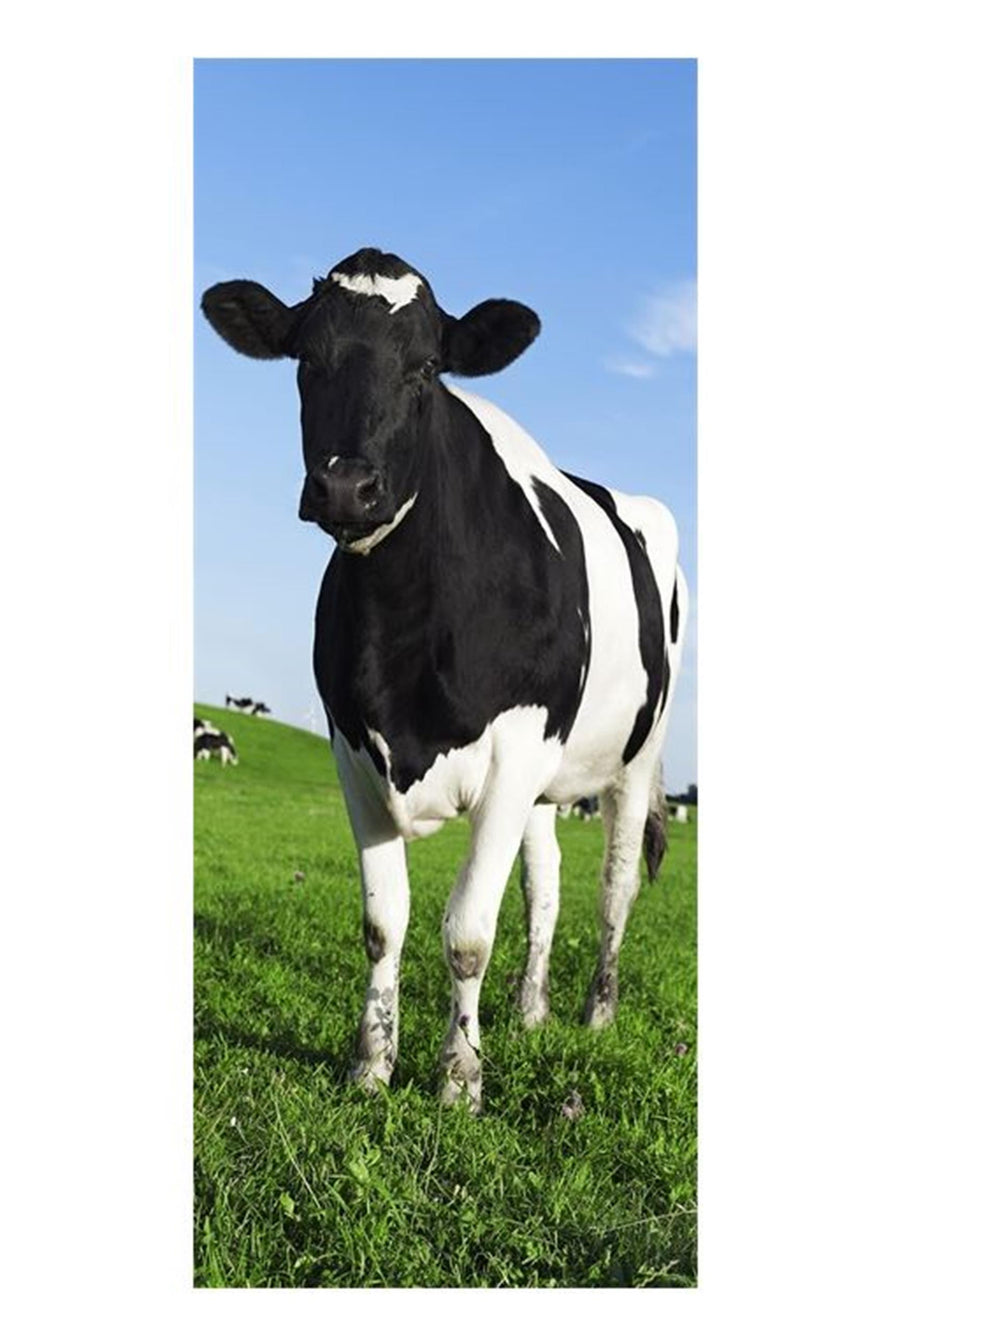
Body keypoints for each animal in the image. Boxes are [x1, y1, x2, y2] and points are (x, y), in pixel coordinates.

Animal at [201, 246, 688, 1113]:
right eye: (305, 359)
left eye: (427, 367)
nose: (346, 486)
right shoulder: (351, 749)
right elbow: (383, 922)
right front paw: (371, 1064)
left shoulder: (517, 746)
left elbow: (466, 932)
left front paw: (459, 1077)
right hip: (545, 781)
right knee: (545, 886)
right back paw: (530, 1011)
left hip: (635, 755)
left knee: (615, 885)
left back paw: (596, 1013)